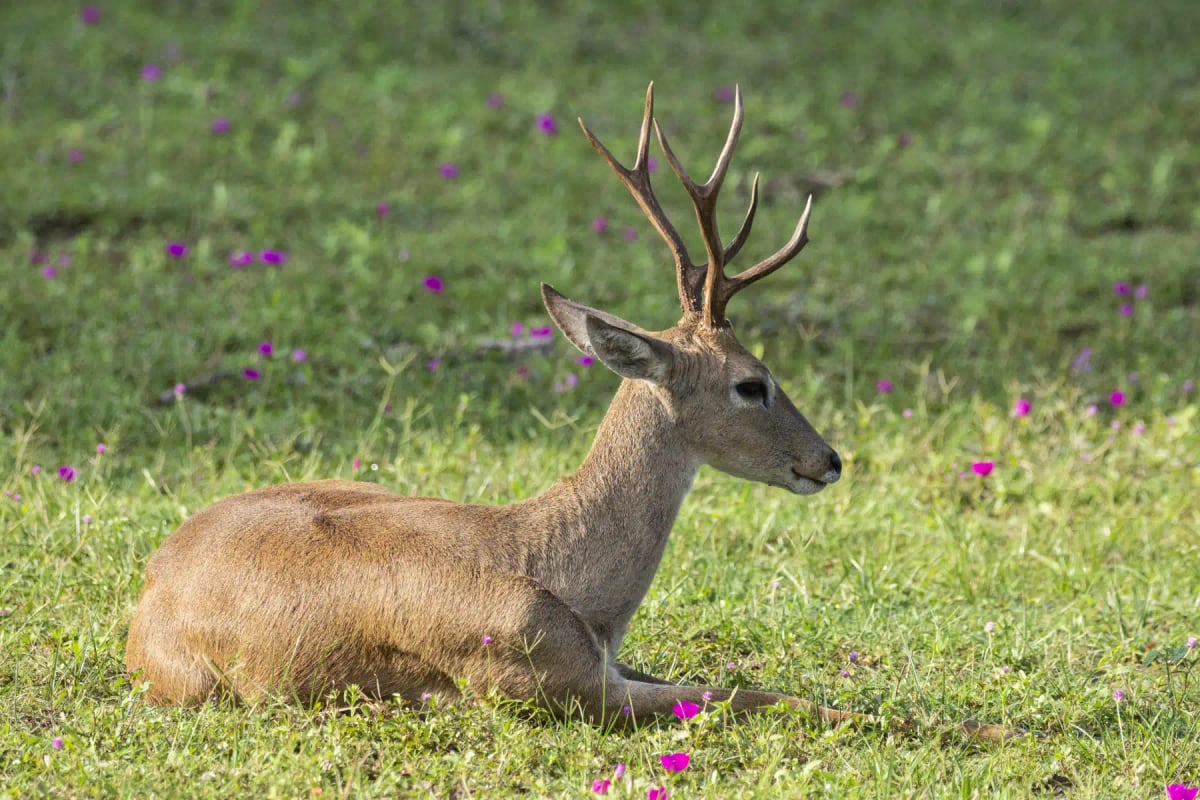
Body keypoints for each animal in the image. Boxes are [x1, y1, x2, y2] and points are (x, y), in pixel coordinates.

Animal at [126, 84, 1017, 742]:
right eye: (751, 382)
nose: (827, 459)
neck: (564, 574)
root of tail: (146, 595)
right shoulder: (549, 686)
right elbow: (750, 694)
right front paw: (996, 731)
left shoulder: (608, 667)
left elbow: (738, 682)